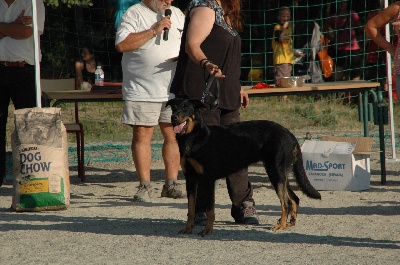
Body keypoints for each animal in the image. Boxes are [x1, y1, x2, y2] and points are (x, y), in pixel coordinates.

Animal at [166, 97, 322, 235]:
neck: (193, 138)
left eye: (186, 108)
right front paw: (188, 229)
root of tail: (290, 135)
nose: (173, 117)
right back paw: (289, 223)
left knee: (286, 202)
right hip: (280, 174)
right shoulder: (190, 179)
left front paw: (207, 230)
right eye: (173, 108)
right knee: (294, 199)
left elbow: (210, 210)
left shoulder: (208, 179)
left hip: (275, 172)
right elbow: (191, 209)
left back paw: (281, 226)